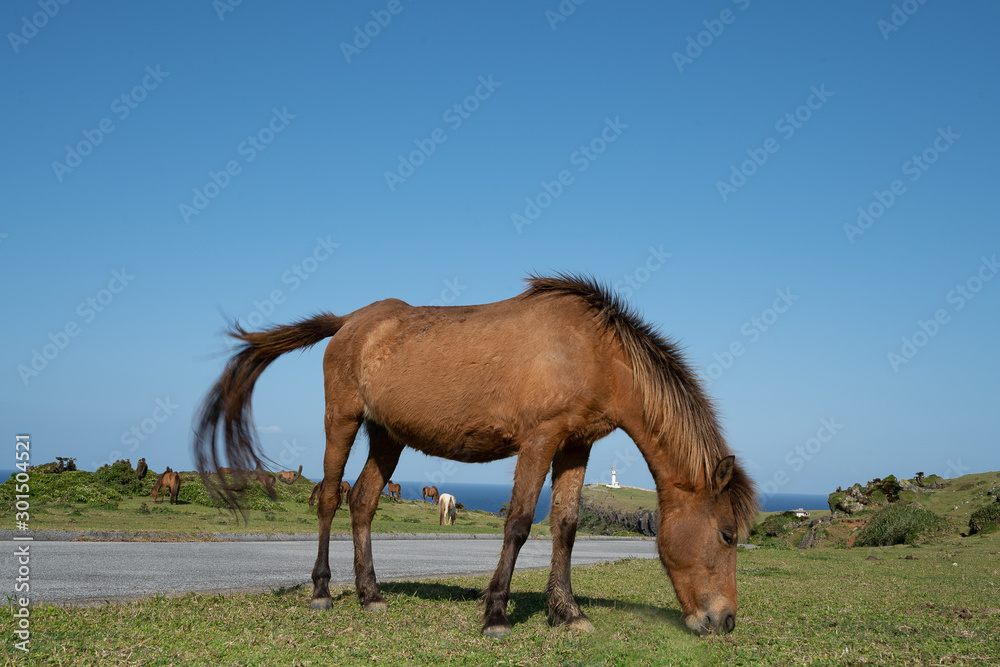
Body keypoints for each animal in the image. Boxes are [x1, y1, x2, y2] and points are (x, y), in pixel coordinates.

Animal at [193, 273, 757, 638]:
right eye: (727, 535)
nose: (725, 621)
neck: (592, 352)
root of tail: (351, 321)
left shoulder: (576, 445)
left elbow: (566, 527)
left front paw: (567, 612)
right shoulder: (540, 440)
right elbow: (520, 523)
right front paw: (496, 614)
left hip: (388, 436)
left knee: (364, 502)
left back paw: (371, 595)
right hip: (343, 421)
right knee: (331, 498)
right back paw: (323, 592)